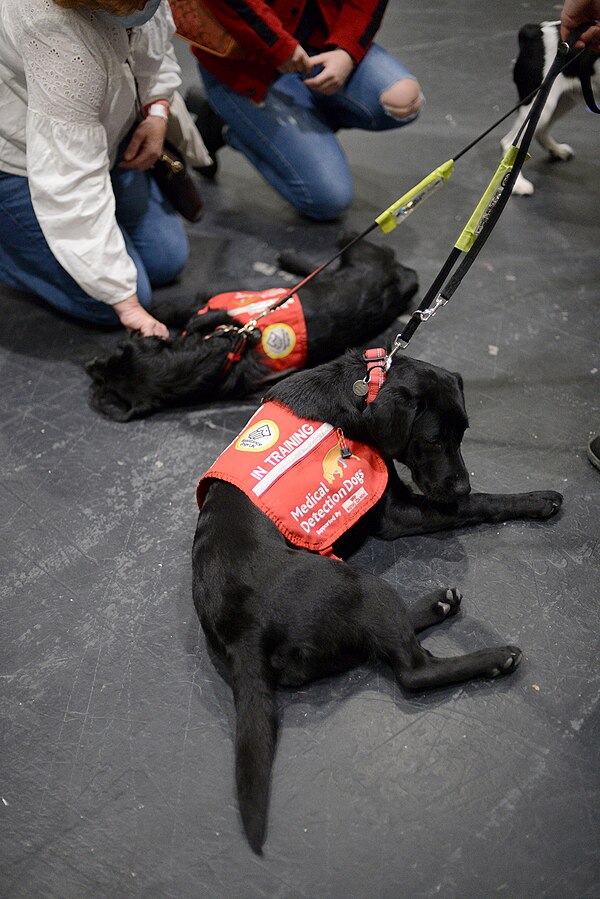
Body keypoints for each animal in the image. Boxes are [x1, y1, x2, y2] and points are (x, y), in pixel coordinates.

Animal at [85, 237, 418, 424]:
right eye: (103, 382)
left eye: (122, 348)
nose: (90, 365)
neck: (227, 350)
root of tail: (402, 279)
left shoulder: (205, 303)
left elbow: (172, 310)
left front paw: (146, 309)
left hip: (363, 252)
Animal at [192, 348, 564, 856]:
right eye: (432, 439)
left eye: (464, 433)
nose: (461, 485)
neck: (360, 388)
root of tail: (242, 634)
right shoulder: (398, 511)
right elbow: (481, 505)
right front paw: (536, 499)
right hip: (362, 586)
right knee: (413, 669)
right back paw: (494, 657)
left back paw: (437, 605)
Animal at [500, 21, 596, 195]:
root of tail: (536, 30)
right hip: (542, 103)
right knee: (509, 142)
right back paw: (518, 184)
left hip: (562, 101)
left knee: (540, 131)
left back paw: (557, 150)